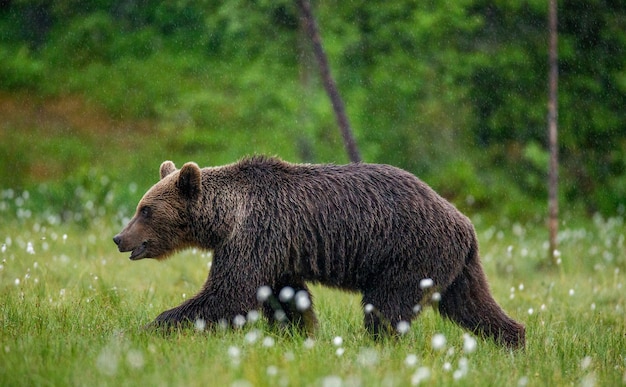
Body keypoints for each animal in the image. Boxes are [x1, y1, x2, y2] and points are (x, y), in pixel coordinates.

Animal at [113, 156, 520, 350]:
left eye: (145, 209)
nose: (119, 238)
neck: (227, 218)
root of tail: (464, 221)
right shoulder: (276, 251)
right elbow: (286, 297)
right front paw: (299, 333)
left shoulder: (257, 235)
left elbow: (229, 293)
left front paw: (152, 326)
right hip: (454, 264)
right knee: (470, 304)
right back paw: (513, 340)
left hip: (409, 254)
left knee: (385, 308)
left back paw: (381, 346)